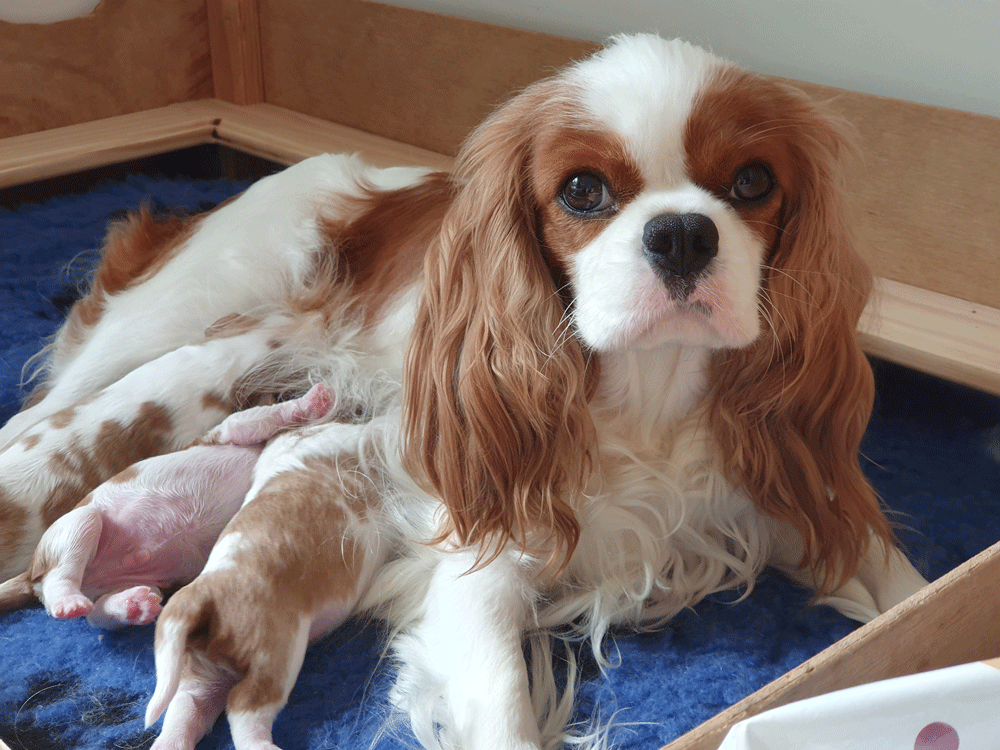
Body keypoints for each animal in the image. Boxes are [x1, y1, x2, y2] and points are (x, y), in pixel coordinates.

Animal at [0, 384, 336, 632]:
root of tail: (29, 573)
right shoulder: (233, 430)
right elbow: (267, 415)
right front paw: (314, 401)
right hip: (78, 524)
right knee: (59, 580)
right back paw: (69, 601)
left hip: (139, 584)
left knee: (99, 614)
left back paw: (133, 606)